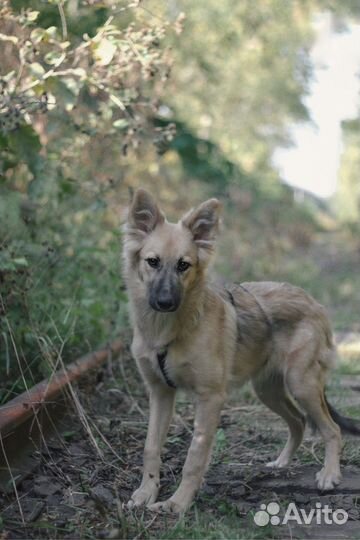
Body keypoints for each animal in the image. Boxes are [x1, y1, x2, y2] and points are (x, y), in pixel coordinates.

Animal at [123, 190, 358, 516]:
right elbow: (151, 447)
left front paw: (177, 503)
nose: (166, 302)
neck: (167, 331)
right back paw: (281, 463)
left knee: (332, 429)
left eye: (184, 265)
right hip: (268, 390)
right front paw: (146, 493)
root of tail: (314, 302)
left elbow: (195, 456)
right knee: (298, 422)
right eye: (153, 262)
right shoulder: (160, 392)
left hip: (302, 384)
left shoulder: (210, 398)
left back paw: (329, 475)